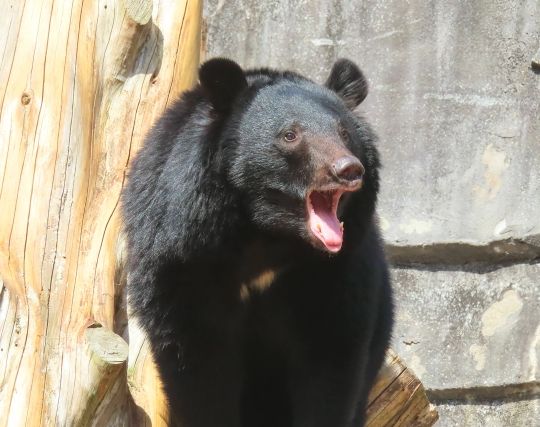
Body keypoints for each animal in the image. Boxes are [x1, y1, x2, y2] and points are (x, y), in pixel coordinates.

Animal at [122, 57, 392, 427]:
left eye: (344, 133)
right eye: (290, 135)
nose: (348, 169)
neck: (266, 233)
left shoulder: (335, 271)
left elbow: (328, 359)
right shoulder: (181, 259)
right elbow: (200, 366)